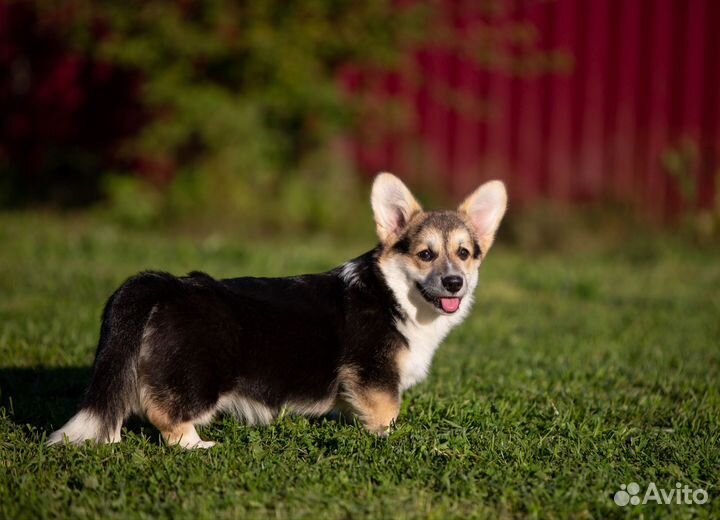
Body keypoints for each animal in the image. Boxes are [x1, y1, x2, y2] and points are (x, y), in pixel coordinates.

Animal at [49, 174, 506, 446]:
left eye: (464, 254)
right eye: (425, 254)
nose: (455, 283)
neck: (396, 294)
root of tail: (165, 285)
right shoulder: (375, 377)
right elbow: (387, 414)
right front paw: (390, 441)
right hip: (199, 377)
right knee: (167, 415)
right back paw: (199, 446)